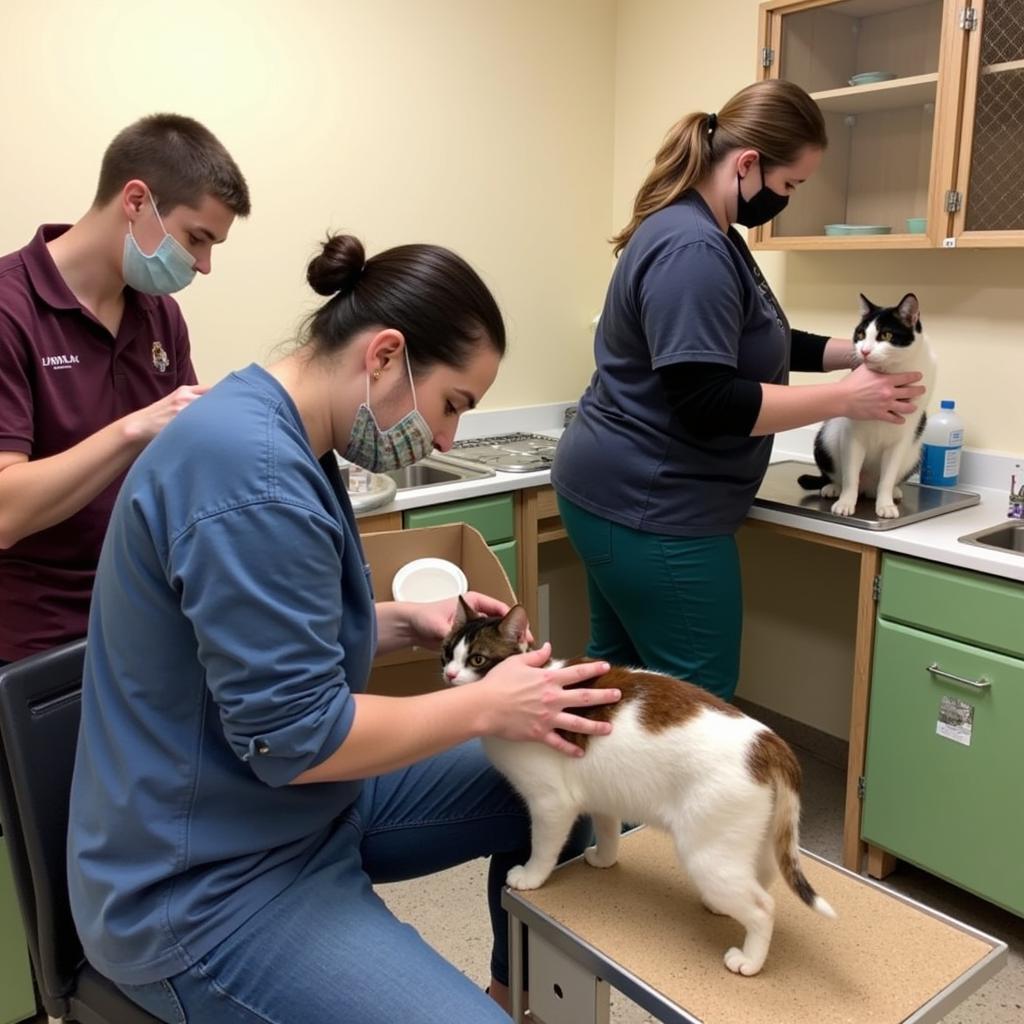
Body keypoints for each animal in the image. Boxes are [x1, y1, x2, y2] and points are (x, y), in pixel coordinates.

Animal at [444, 598, 835, 974]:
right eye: (448, 651)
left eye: (477, 659)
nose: (448, 674)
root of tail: (768, 740)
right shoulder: (602, 797)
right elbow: (608, 831)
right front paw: (605, 858)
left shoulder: (550, 804)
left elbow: (543, 849)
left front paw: (531, 876)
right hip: (753, 840)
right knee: (763, 876)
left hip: (707, 854)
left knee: (763, 907)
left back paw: (750, 960)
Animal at [798, 294, 937, 520]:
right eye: (861, 334)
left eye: (886, 334)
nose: (864, 351)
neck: (890, 373)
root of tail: (867, 488)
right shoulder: (852, 435)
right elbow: (850, 476)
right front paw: (845, 502)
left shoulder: (901, 439)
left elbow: (887, 478)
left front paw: (886, 504)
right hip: (826, 438)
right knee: (839, 475)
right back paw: (833, 487)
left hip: (914, 453)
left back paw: (892, 492)